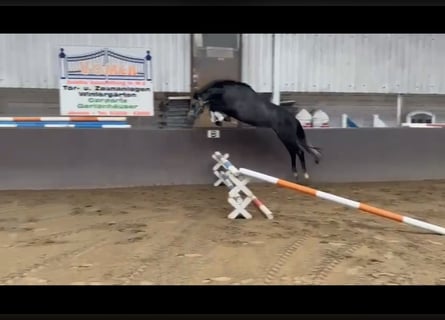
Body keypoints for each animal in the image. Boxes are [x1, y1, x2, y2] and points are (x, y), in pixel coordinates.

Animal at [186, 79, 320, 181]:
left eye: (194, 104)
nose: (190, 117)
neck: (226, 92)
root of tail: (293, 119)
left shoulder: (230, 108)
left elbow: (213, 107)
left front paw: (219, 120)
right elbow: (213, 108)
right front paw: (220, 120)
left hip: (287, 137)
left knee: (299, 151)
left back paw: (305, 174)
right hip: (285, 138)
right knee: (293, 152)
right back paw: (296, 174)